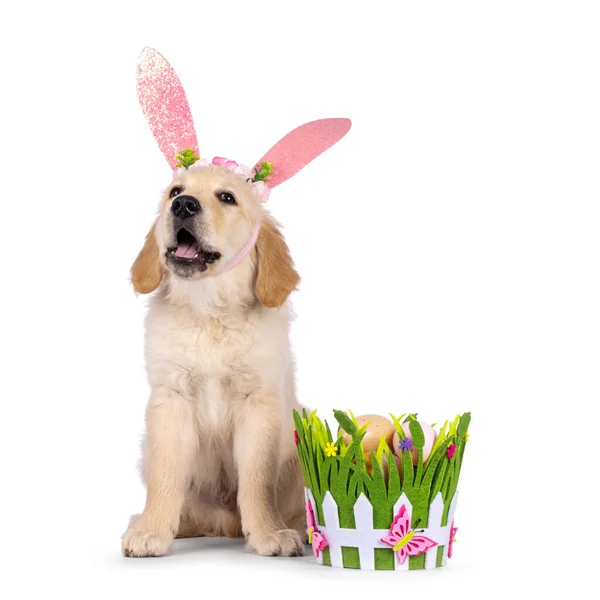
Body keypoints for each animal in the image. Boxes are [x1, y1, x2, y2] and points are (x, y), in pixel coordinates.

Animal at [124, 163, 308, 556]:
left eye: (227, 197)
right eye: (175, 192)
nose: (184, 206)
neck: (209, 311)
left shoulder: (259, 403)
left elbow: (256, 478)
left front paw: (269, 533)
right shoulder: (170, 400)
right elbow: (164, 476)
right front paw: (151, 532)